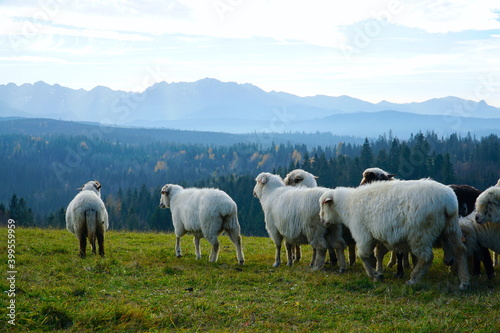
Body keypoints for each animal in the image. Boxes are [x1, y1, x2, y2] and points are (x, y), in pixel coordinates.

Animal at [318, 178, 470, 290]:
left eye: (323, 206)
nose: (322, 220)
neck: (347, 206)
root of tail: (448, 202)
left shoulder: (363, 235)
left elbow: (363, 255)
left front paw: (375, 275)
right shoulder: (377, 238)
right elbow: (376, 255)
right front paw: (378, 272)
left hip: (420, 234)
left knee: (426, 257)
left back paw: (414, 279)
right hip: (451, 228)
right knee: (460, 250)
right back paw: (464, 282)